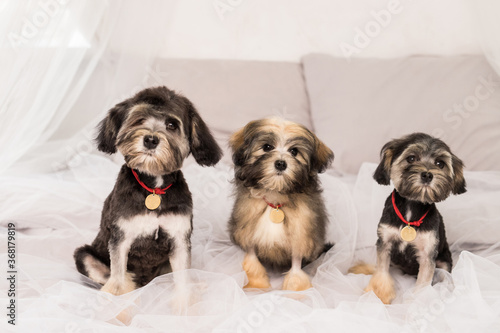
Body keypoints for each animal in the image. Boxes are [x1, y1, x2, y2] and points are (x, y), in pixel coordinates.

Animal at [74, 86, 223, 296]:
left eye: (171, 125)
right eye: (139, 120)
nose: (151, 140)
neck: (154, 187)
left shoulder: (179, 240)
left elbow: (182, 277)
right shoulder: (121, 238)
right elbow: (118, 276)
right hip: (85, 255)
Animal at [229, 117, 334, 290]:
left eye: (294, 151)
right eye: (267, 147)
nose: (280, 163)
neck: (275, 200)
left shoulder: (300, 237)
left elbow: (296, 269)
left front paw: (296, 290)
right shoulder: (249, 233)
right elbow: (252, 262)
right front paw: (256, 284)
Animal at [352, 132, 464, 304]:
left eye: (440, 163)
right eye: (411, 158)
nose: (427, 175)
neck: (412, 207)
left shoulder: (427, 255)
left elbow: (423, 285)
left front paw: (415, 303)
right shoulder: (385, 243)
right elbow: (381, 272)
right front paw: (378, 295)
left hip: (444, 260)